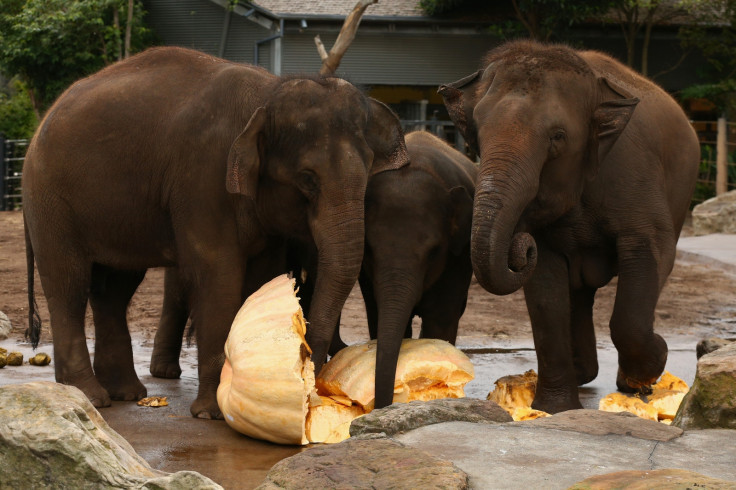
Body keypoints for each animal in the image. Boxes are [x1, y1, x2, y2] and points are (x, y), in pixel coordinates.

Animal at [21, 46, 408, 420]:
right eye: (307, 179)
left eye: (368, 173)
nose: (309, 390)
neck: (268, 94)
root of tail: (36, 132)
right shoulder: (202, 178)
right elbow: (218, 275)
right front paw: (212, 414)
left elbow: (260, 278)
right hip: (49, 200)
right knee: (69, 284)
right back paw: (90, 396)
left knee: (114, 288)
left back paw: (124, 394)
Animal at [440, 39, 700, 414]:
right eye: (476, 137)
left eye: (557, 137)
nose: (520, 245)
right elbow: (546, 291)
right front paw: (553, 409)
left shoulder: (636, 179)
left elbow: (648, 256)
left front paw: (652, 367)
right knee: (578, 293)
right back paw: (583, 372)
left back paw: (626, 382)